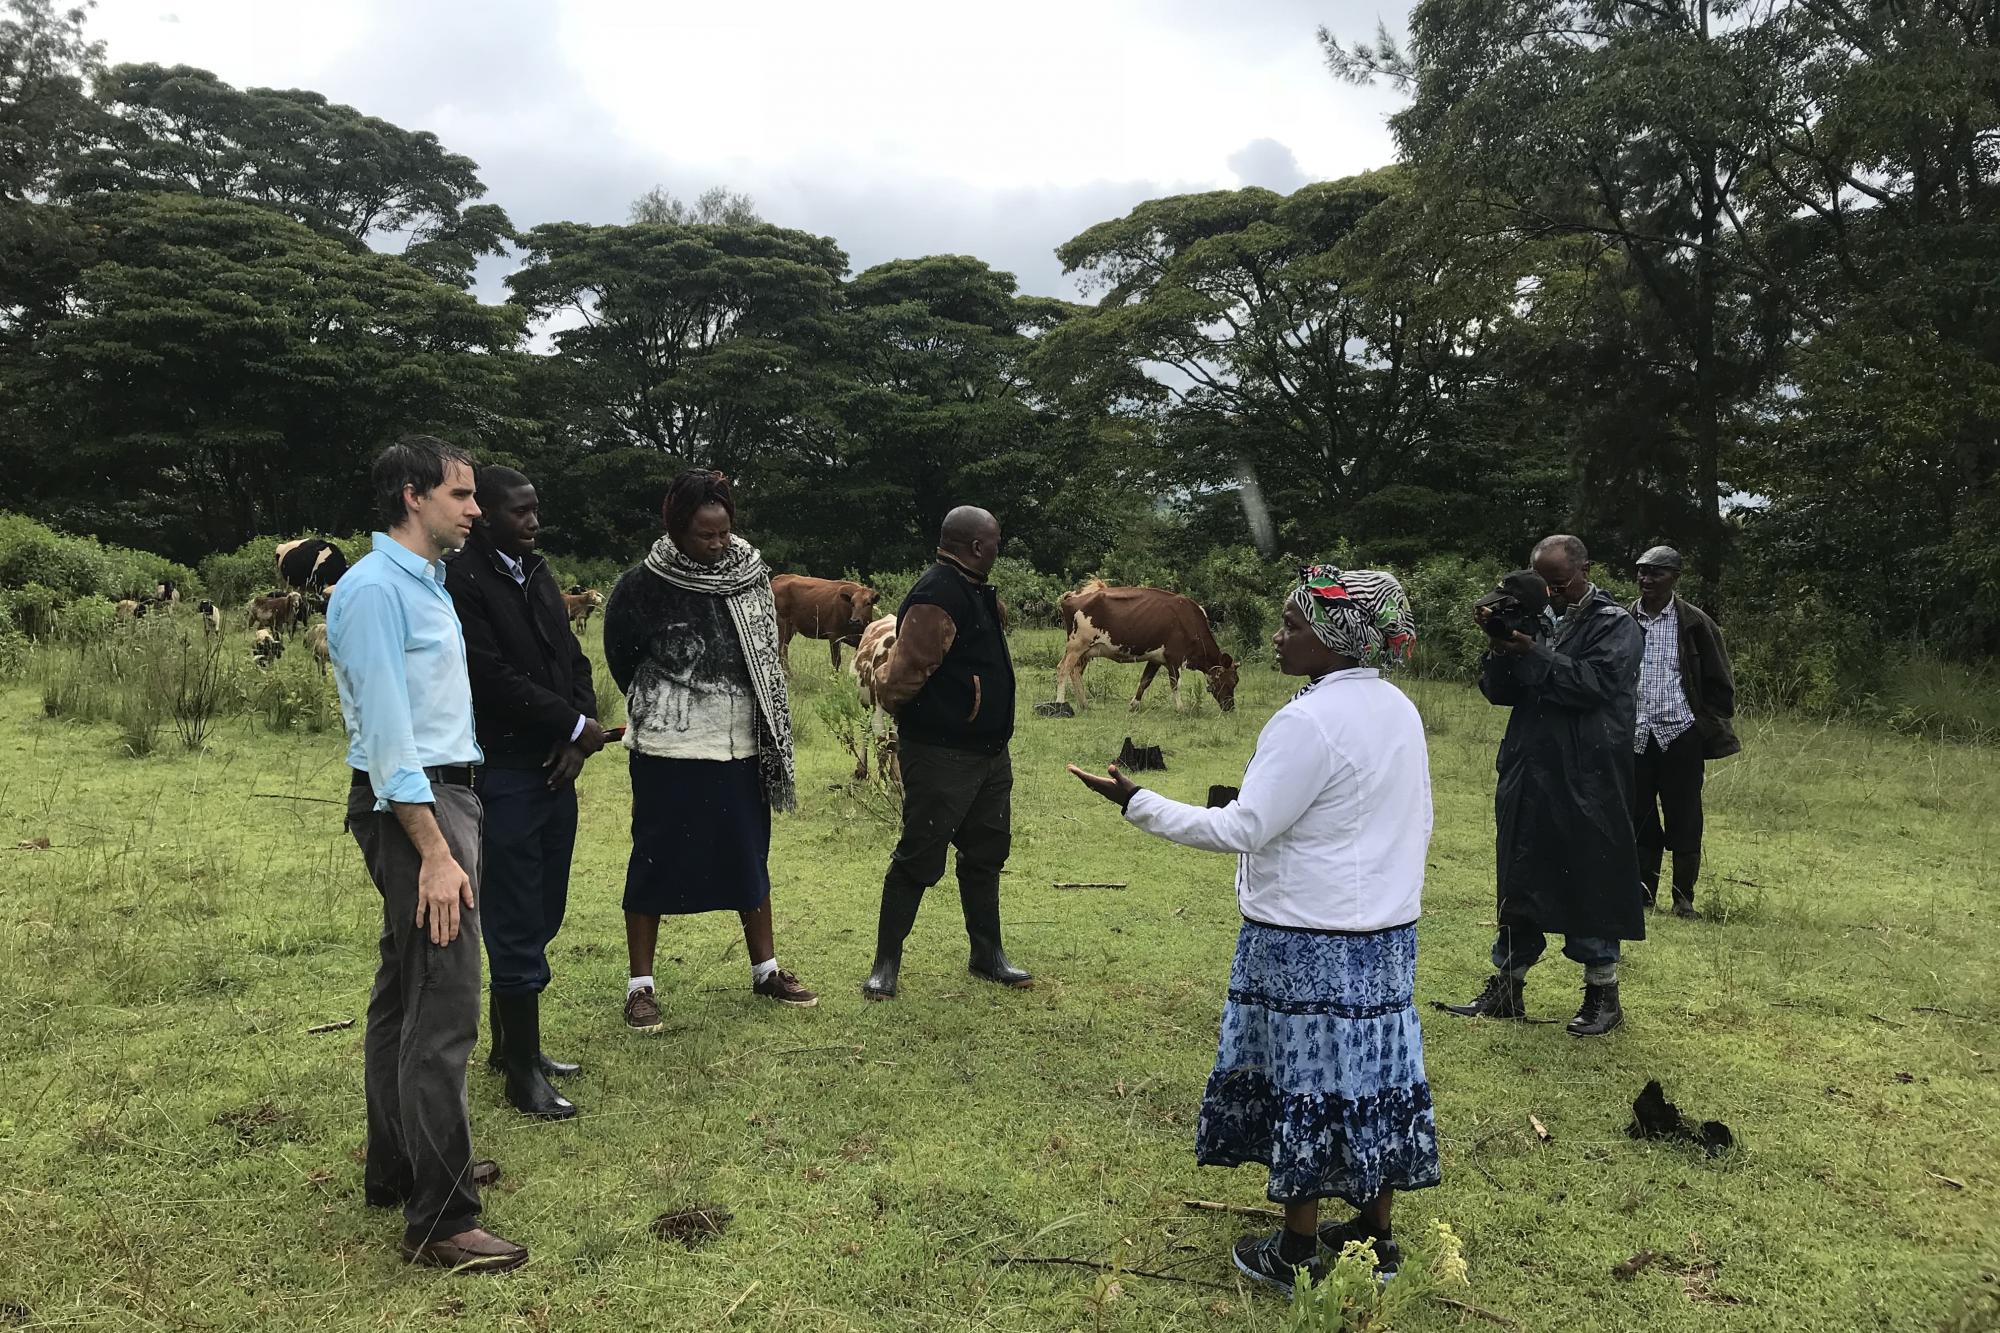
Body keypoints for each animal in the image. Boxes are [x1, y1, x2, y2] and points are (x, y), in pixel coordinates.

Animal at [848, 616, 904, 784]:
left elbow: (895, 744)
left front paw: (895, 779)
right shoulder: (877, 711)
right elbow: (882, 747)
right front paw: (881, 783)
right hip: (866, 705)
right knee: (866, 731)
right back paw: (861, 769)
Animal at [1064, 580, 1232, 712]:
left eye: (1235, 681)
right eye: (1230, 681)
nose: (1230, 707)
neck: (1190, 621)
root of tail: (1073, 596)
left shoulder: (1156, 659)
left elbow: (1145, 681)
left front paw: (1134, 705)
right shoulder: (1174, 657)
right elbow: (1175, 683)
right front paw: (1180, 708)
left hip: (1085, 652)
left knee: (1075, 672)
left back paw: (1083, 704)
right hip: (1078, 646)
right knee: (1068, 670)